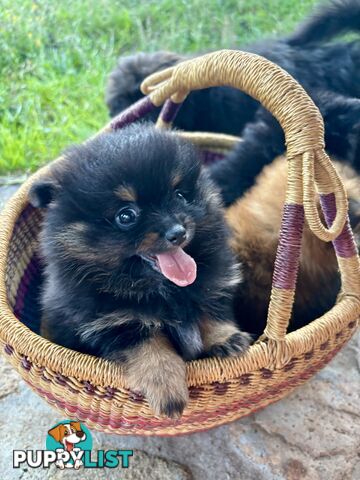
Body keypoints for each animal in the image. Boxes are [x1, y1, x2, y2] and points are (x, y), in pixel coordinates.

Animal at [29, 124, 250, 416]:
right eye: (126, 216)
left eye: (180, 195)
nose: (178, 232)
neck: (164, 289)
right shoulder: (114, 322)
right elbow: (150, 348)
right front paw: (167, 389)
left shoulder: (212, 285)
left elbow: (211, 312)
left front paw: (225, 339)